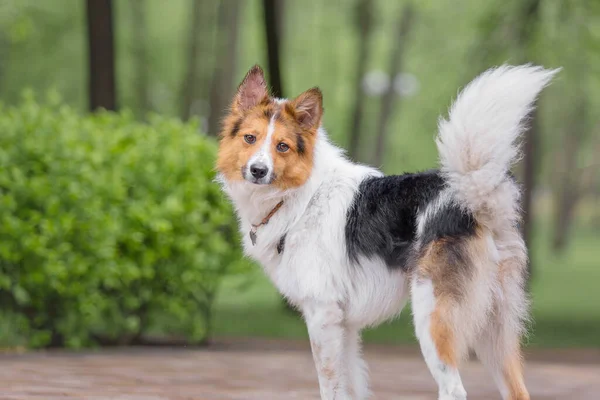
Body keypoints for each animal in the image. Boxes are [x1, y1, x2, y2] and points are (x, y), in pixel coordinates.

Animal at [216, 64, 556, 398]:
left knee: (453, 388)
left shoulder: (322, 316)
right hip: (493, 332)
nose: (258, 171)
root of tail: (472, 195)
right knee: (517, 392)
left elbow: (330, 386)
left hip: (432, 319)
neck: (300, 198)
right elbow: (351, 387)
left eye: (282, 147)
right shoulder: (345, 325)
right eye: (250, 138)